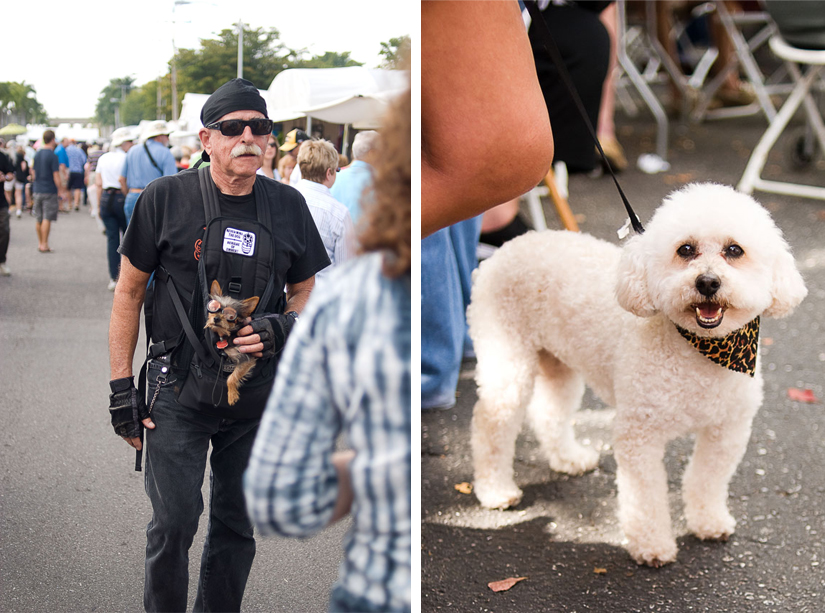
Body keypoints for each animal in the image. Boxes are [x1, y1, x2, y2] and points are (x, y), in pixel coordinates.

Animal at [466, 182, 808, 564]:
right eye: (685, 249)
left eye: (734, 250)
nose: (707, 282)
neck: (701, 352)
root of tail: (501, 253)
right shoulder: (639, 435)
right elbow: (645, 497)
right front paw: (652, 546)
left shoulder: (726, 431)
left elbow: (706, 479)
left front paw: (709, 522)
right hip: (506, 357)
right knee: (490, 425)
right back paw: (496, 490)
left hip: (559, 362)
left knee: (549, 410)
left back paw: (569, 458)